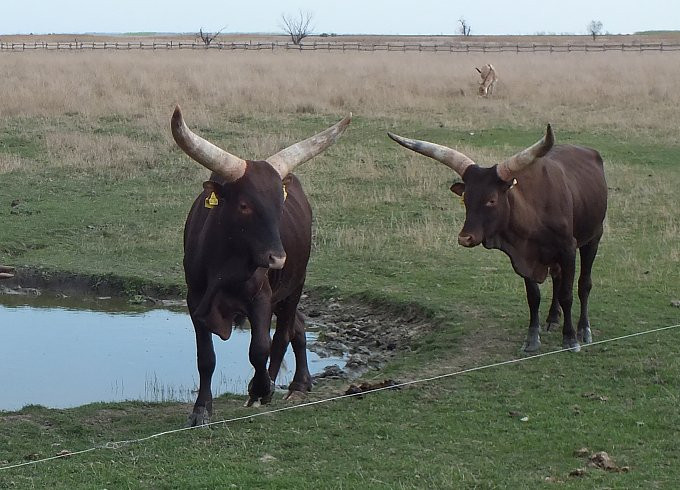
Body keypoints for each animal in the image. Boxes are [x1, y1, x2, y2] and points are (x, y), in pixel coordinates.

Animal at [171, 107, 350, 424]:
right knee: (298, 326)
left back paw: (290, 385)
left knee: (284, 333)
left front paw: (260, 390)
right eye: (245, 205)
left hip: (294, 286)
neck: (226, 268)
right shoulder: (195, 300)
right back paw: (300, 382)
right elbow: (206, 358)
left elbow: (260, 348)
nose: (277, 259)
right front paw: (201, 409)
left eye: (280, 204)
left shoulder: (261, 298)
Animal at [390, 125, 608, 352]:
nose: (464, 238)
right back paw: (552, 318)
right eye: (465, 199)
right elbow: (534, 296)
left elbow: (568, 294)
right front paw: (532, 338)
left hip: (594, 236)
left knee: (584, 284)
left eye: (492, 200)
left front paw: (570, 338)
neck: (533, 212)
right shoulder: (525, 254)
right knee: (557, 277)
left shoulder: (567, 249)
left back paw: (583, 329)